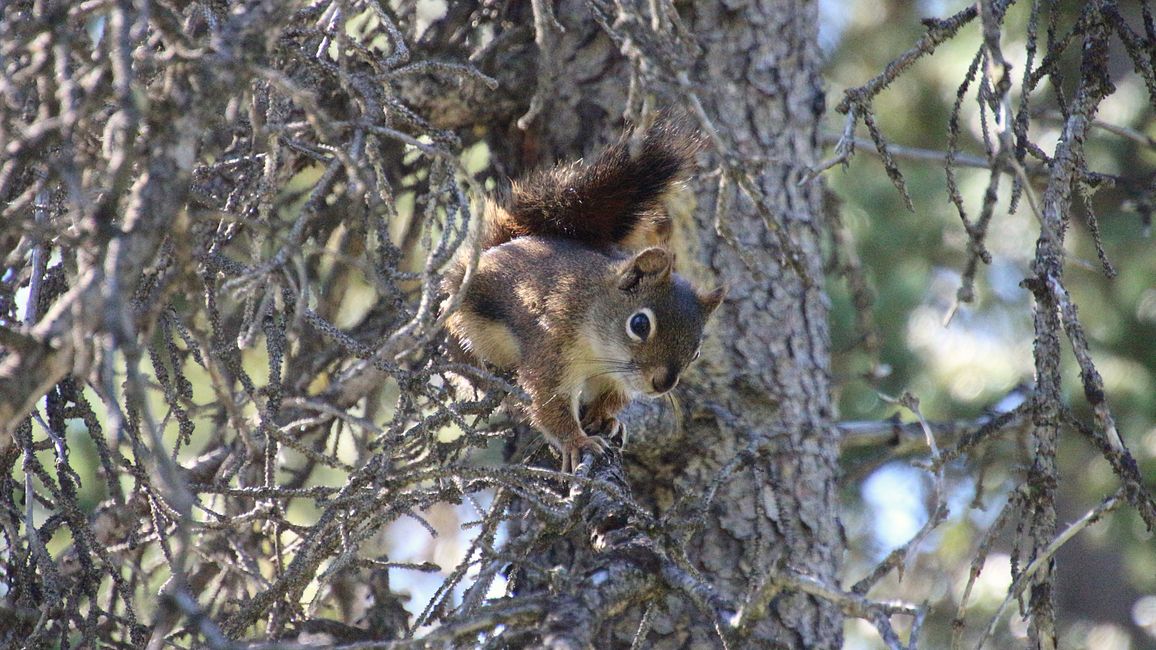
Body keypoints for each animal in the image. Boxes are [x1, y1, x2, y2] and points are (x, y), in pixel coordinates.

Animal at [441, 117, 721, 469]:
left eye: (696, 351)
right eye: (639, 324)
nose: (662, 385)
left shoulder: (617, 379)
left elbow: (612, 399)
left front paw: (604, 418)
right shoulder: (551, 347)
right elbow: (548, 402)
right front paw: (577, 442)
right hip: (465, 330)